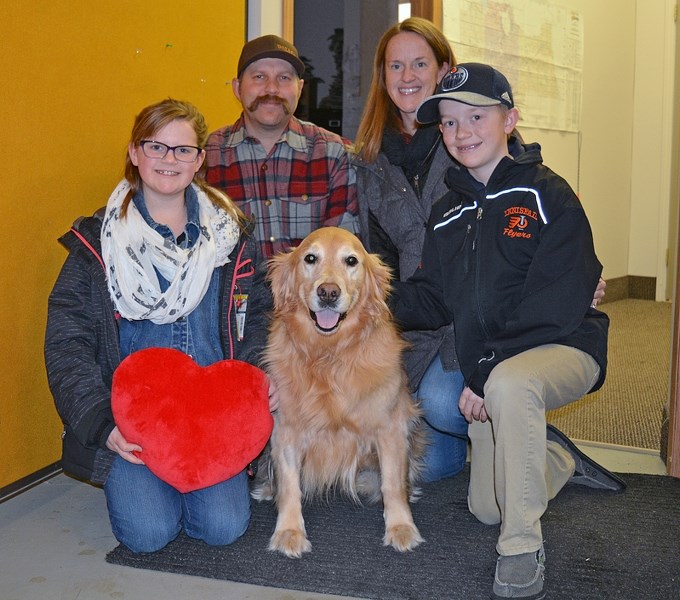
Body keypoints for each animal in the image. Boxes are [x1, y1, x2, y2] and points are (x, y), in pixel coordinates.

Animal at [254, 226, 424, 556]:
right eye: (310, 258)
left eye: (351, 260)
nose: (328, 292)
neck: (328, 355)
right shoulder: (286, 429)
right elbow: (290, 484)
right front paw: (289, 531)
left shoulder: (391, 427)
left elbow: (392, 484)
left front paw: (401, 527)